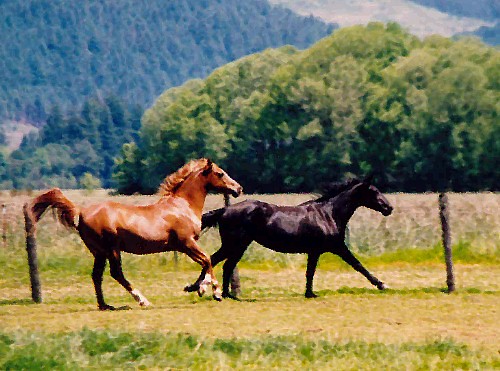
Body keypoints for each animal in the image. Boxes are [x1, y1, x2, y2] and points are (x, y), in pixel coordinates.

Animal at [25, 159, 242, 310]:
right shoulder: (186, 243)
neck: (181, 206)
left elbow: (207, 262)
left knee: (97, 276)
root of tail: (81, 211)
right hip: (112, 249)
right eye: (220, 173)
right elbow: (207, 260)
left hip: (99, 252)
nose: (238, 188)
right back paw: (142, 300)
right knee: (116, 273)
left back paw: (106, 306)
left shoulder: (186, 246)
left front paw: (198, 288)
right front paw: (213, 291)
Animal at [186, 177, 392, 300]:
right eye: (373, 192)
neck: (328, 214)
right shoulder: (336, 247)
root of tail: (225, 210)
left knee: (222, 264)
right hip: (236, 244)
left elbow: (310, 272)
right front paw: (382, 284)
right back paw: (202, 289)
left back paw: (225, 294)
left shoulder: (315, 251)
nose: (389, 208)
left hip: (237, 245)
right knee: (217, 261)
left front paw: (309, 293)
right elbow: (358, 265)